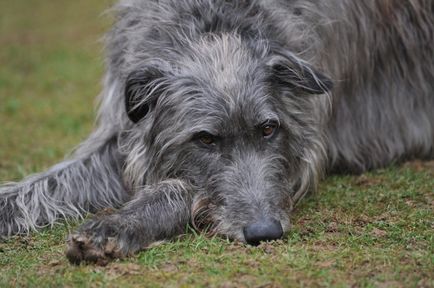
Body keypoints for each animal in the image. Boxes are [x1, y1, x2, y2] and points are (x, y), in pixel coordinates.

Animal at [0, 0, 432, 266]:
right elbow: (49, 185)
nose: (265, 232)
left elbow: (182, 188)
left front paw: (116, 225)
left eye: (269, 128)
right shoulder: (126, 129)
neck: (214, 19)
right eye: (205, 139)